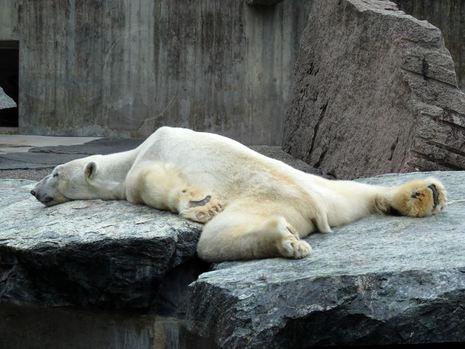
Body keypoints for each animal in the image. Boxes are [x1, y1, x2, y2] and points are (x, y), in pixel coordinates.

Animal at [29, 126, 446, 260]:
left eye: (54, 172)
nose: (33, 191)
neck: (129, 156)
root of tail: (312, 204)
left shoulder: (147, 163)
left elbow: (155, 186)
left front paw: (199, 203)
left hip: (265, 199)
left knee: (215, 240)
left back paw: (283, 239)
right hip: (326, 191)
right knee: (357, 191)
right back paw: (423, 194)